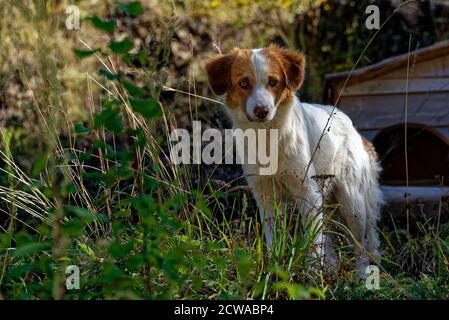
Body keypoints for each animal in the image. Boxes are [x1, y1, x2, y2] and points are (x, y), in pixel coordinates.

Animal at [204, 45, 382, 272]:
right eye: (243, 83)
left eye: (273, 82)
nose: (262, 111)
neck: (268, 135)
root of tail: (351, 126)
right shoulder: (265, 193)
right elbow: (274, 236)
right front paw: (274, 266)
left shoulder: (308, 192)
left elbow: (313, 242)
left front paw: (312, 273)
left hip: (352, 203)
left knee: (360, 246)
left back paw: (361, 276)